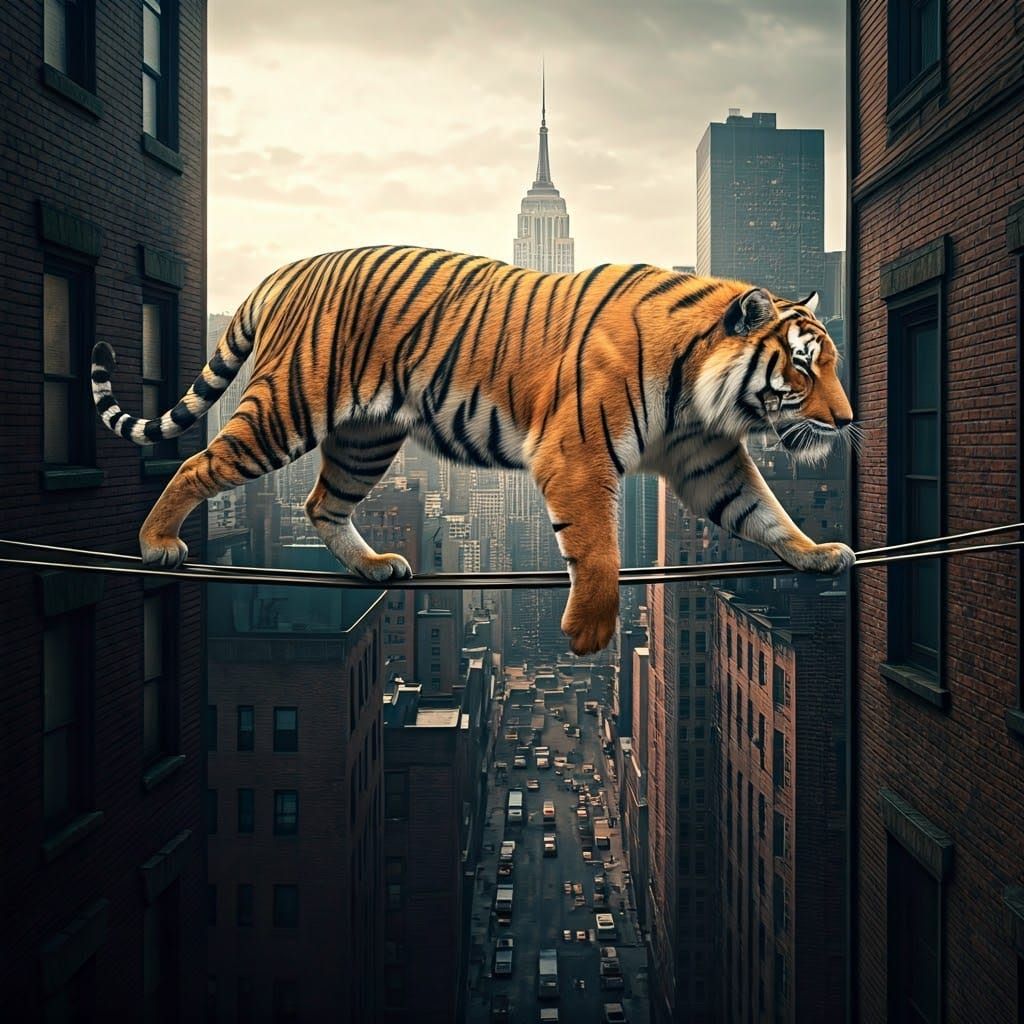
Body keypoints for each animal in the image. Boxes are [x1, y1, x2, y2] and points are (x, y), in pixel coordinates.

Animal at [91, 246, 856, 656]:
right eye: (804, 366)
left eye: (833, 363)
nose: (848, 421)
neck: (700, 387)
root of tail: (288, 269)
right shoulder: (576, 452)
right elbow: (596, 546)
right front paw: (589, 629)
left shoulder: (708, 458)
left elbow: (766, 512)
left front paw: (817, 553)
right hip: (286, 409)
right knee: (197, 463)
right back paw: (156, 541)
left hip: (366, 438)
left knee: (320, 503)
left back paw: (372, 566)